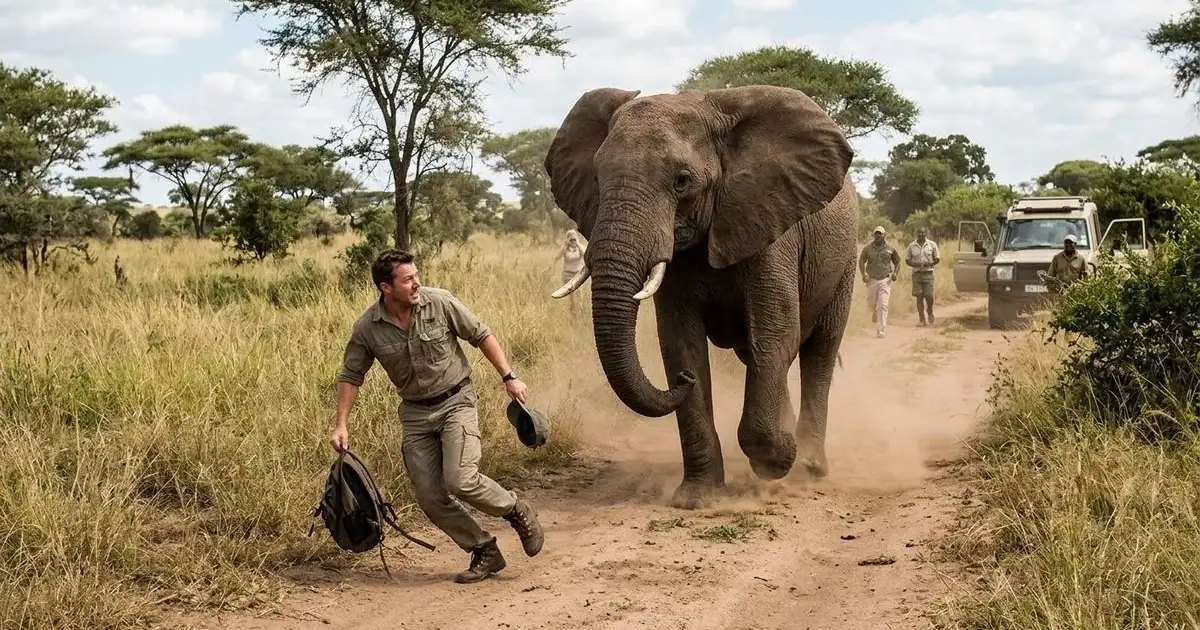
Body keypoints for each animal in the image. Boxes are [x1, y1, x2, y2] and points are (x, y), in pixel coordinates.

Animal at [543, 84, 859, 509]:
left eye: (681, 181)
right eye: (597, 175)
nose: (682, 382)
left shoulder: (772, 229)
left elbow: (775, 335)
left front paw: (778, 461)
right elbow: (680, 342)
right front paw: (696, 499)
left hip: (845, 260)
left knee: (819, 352)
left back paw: (808, 466)